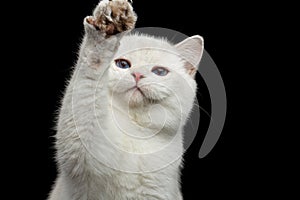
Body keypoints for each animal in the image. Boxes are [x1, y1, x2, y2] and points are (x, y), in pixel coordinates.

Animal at [48, 0, 204, 199]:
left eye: (160, 72)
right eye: (122, 64)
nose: (138, 75)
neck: (137, 133)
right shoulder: (84, 148)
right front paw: (106, 29)